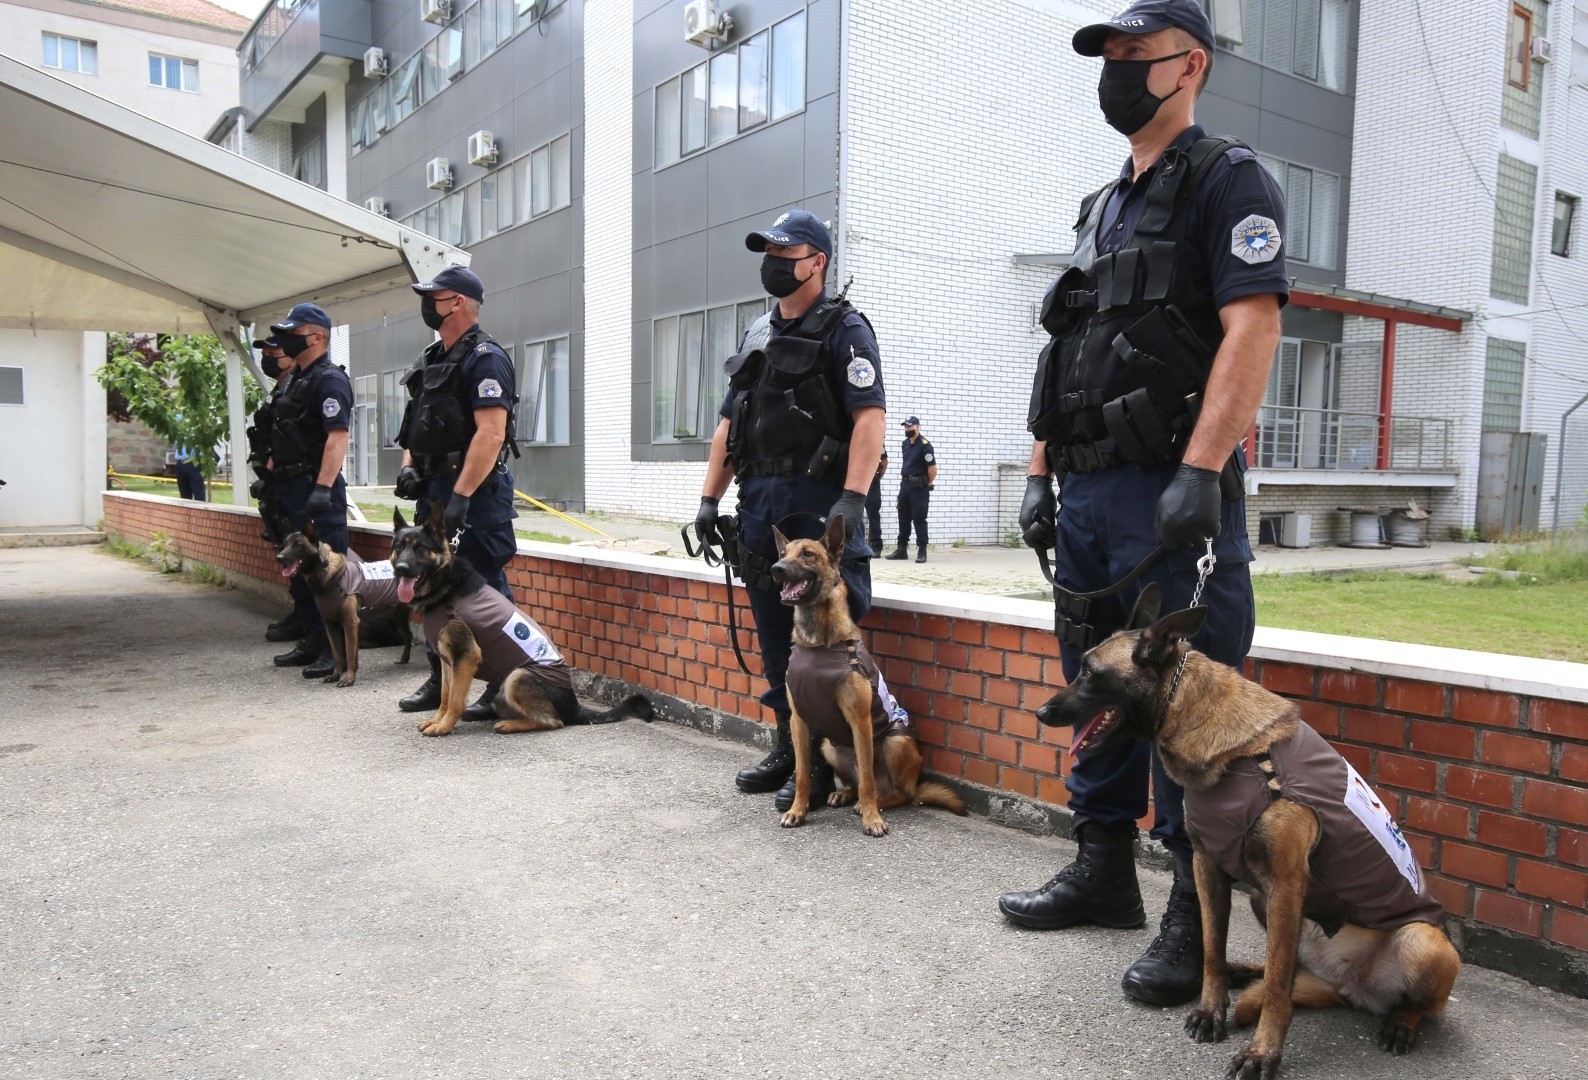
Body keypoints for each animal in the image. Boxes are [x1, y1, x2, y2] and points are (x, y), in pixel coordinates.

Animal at [279, 517, 416, 686]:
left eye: (298, 545)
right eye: (284, 543)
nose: (279, 557)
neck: (330, 576)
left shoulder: (350, 623)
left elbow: (350, 655)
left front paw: (349, 678)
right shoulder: (330, 624)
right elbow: (337, 654)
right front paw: (335, 675)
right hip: (398, 615)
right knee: (408, 635)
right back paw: (404, 658)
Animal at [389, 505, 651, 733]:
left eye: (420, 548)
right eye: (399, 547)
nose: (400, 568)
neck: (445, 584)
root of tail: (575, 706)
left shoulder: (466, 657)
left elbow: (454, 700)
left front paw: (443, 728)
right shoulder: (447, 661)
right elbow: (444, 696)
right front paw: (436, 720)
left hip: (516, 676)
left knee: (553, 722)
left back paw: (510, 725)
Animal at [762, 514, 959, 832]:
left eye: (807, 554)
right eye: (783, 553)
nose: (776, 569)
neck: (819, 643)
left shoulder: (860, 720)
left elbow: (867, 780)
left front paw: (872, 818)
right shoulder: (798, 721)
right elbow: (803, 773)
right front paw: (797, 810)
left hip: (895, 742)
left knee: (895, 792)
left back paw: (873, 804)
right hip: (830, 747)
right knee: (860, 783)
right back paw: (843, 794)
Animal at [1035, 581, 1454, 1080]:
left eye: (1090, 672)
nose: (1041, 711)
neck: (1235, 753)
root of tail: (1349, 986)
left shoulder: (1286, 884)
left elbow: (1276, 990)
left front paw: (1263, 1053)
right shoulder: (1208, 866)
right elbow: (1213, 950)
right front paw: (1211, 1008)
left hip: (1421, 942)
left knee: (1407, 1002)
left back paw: (1401, 1023)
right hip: (1260, 899)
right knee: (1284, 968)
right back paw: (1242, 972)